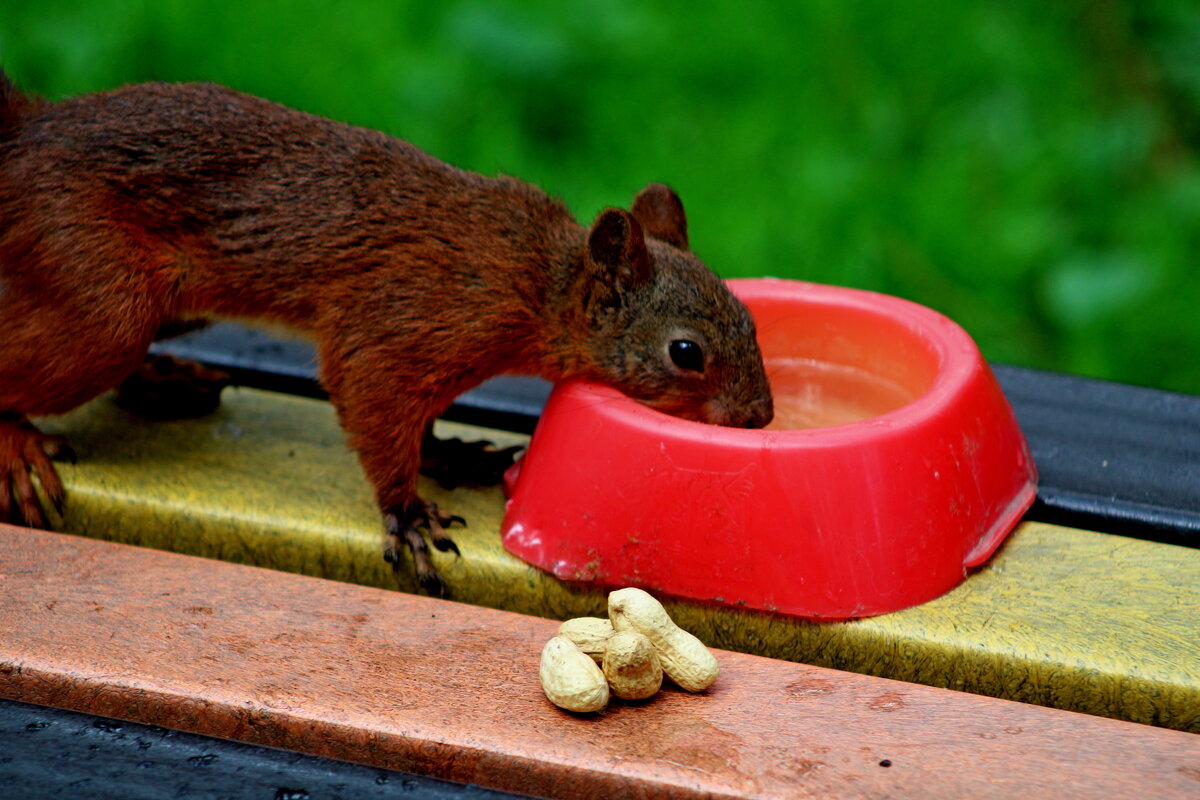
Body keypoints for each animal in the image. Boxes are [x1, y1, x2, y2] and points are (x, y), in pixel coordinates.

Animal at [0, 71, 772, 592]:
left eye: (750, 321)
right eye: (685, 352)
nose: (761, 416)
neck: (538, 282)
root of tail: (24, 134)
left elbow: (416, 423)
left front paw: (449, 452)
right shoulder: (401, 323)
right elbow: (371, 395)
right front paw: (407, 511)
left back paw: (164, 380)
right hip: (103, 300)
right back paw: (17, 444)